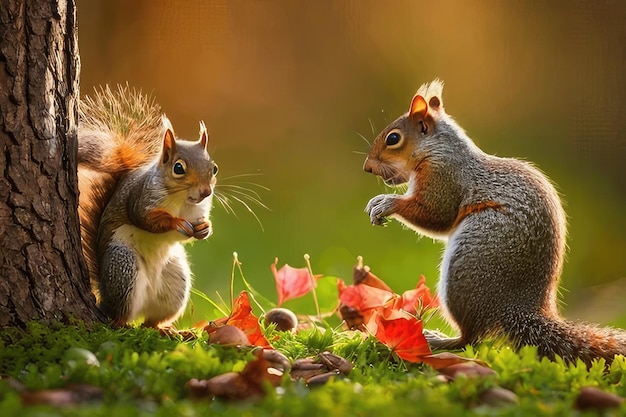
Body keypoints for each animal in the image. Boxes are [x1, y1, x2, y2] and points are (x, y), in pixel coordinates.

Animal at [77, 85, 217, 328]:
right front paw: (176, 223)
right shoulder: (140, 199)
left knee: (150, 321)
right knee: (120, 312)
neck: (182, 200)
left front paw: (204, 228)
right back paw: (120, 321)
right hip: (123, 267)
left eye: (214, 168)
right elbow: (146, 220)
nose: (205, 192)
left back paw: (167, 330)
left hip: (175, 281)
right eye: (178, 168)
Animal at [360, 78, 624, 364]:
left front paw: (385, 203)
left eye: (393, 138)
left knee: (471, 337)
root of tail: (519, 309)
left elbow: (437, 215)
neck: (438, 149)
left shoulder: (445, 177)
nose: (367, 167)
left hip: (465, 269)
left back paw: (440, 339)